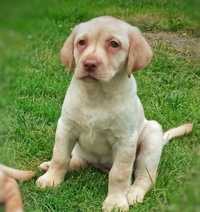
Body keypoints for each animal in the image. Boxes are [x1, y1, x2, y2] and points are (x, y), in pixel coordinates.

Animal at [36, 17, 192, 212]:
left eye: (114, 44)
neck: (96, 93)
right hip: (81, 149)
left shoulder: (125, 140)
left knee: (144, 177)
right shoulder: (66, 127)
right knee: (78, 161)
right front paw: (51, 178)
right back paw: (49, 165)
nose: (89, 64)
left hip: (151, 136)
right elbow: (60, 156)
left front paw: (116, 201)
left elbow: (119, 173)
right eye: (81, 42)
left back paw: (133, 193)